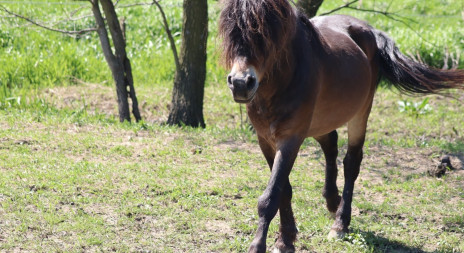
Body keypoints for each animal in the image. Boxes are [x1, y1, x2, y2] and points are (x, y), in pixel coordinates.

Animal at [218, 0, 464, 253]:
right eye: (230, 29)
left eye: (267, 32)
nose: (240, 83)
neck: (280, 83)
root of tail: (368, 30)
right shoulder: (265, 139)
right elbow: (283, 190)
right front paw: (285, 239)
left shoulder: (291, 138)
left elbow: (271, 196)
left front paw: (261, 244)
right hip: (322, 121)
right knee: (331, 144)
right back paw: (332, 201)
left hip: (360, 112)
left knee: (351, 162)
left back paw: (340, 224)